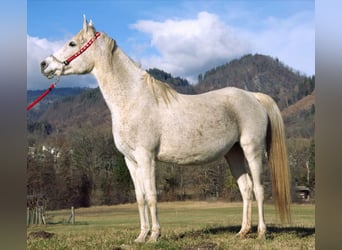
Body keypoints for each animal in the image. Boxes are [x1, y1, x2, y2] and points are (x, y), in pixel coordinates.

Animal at [40, 16, 292, 242]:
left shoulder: (147, 157)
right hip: (234, 153)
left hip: (253, 150)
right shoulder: (130, 160)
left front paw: (154, 235)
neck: (134, 99)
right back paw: (242, 232)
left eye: (72, 43)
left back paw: (261, 232)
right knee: (246, 190)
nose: (44, 65)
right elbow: (140, 197)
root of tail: (253, 97)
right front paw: (141, 236)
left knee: (258, 189)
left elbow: (152, 196)